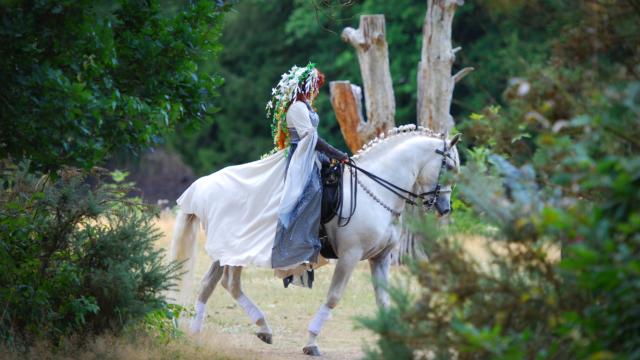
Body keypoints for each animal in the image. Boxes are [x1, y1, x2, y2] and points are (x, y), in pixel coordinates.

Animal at [170, 125, 460, 356]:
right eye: (449, 167)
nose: (445, 208)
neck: (377, 190)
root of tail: (203, 186)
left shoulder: (380, 258)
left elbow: (384, 300)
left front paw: (391, 342)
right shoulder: (350, 255)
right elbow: (333, 297)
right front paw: (311, 343)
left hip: (230, 250)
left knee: (216, 283)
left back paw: (216, 332)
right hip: (233, 248)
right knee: (224, 283)